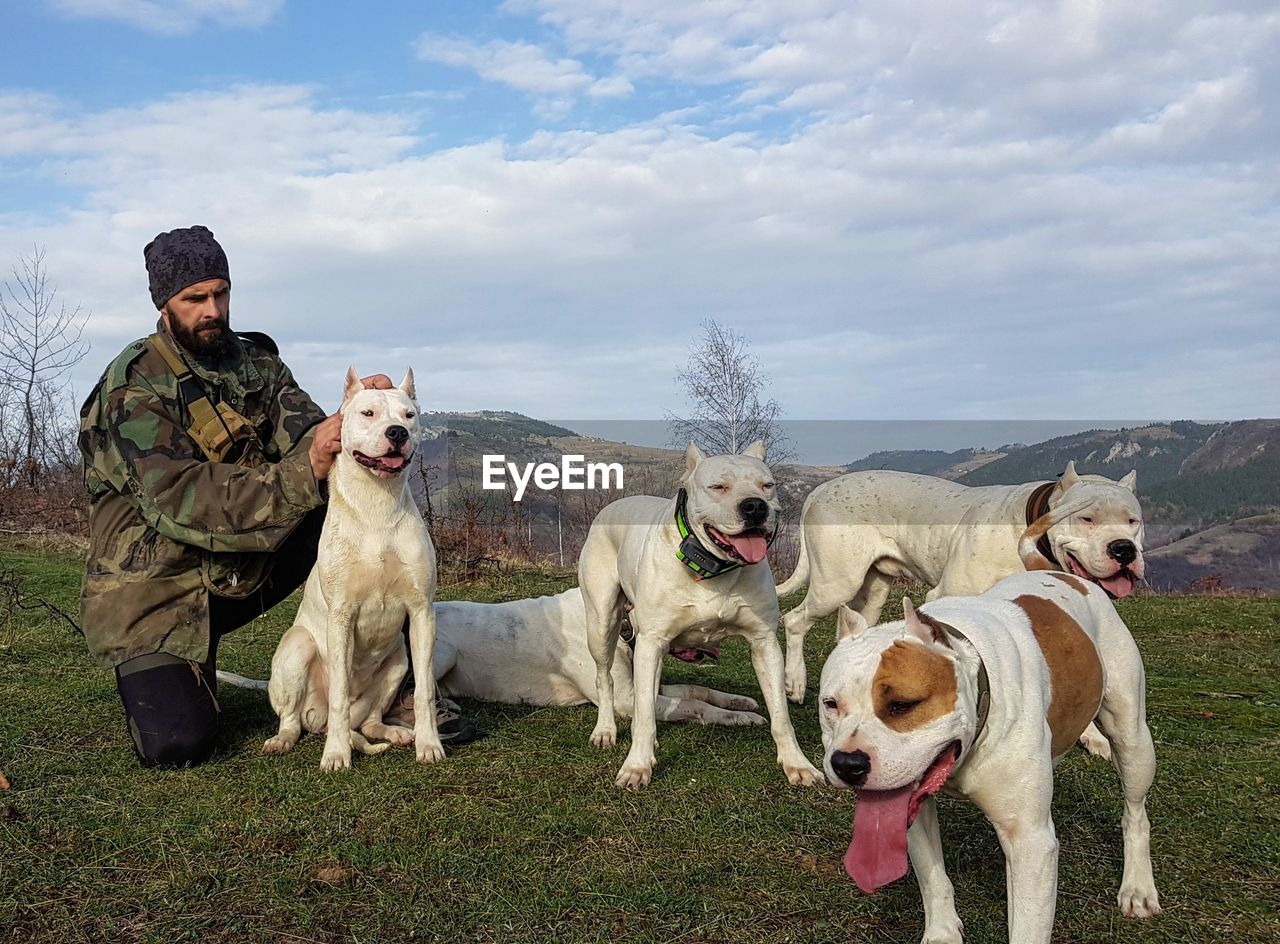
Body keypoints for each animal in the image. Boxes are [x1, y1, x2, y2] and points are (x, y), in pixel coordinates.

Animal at [259, 363, 445, 767]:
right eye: (368, 413)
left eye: (409, 415)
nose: (397, 432)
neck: (377, 505)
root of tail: (316, 717)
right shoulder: (342, 615)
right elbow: (341, 694)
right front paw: (336, 754)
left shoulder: (421, 612)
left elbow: (425, 690)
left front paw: (430, 744)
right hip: (298, 649)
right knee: (295, 717)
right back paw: (285, 739)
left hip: (398, 659)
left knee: (370, 720)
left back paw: (396, 733)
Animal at [578, 440, 819, 787]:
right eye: (718, 487)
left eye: (767, 485)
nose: (755, 506)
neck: (712, 568)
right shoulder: (650, 641)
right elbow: (642, 714)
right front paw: (637, 766)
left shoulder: (764, 643)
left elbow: (781, 715)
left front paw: (797, 764)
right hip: (602, 624)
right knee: (604, 677)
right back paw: (606, 730)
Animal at [773, 460, 1146, 700]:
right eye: (1087, 518)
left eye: (1133, 521)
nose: (1123, 549)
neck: (1025, 528)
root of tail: (819, 490)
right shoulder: (945, 597)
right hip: (836, 584)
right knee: (794, 619)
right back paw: (793, 682)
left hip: (872, 591)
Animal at [819, 565, 1162, 941]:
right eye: (830, 704)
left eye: (903, 705)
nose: (847, 763)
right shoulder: (908, 807)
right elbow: (932, 875)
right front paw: (942, 932)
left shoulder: (1030, 842)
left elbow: (1027, 928)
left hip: (1132, 738)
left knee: (1135, 813)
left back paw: (1138, 887)